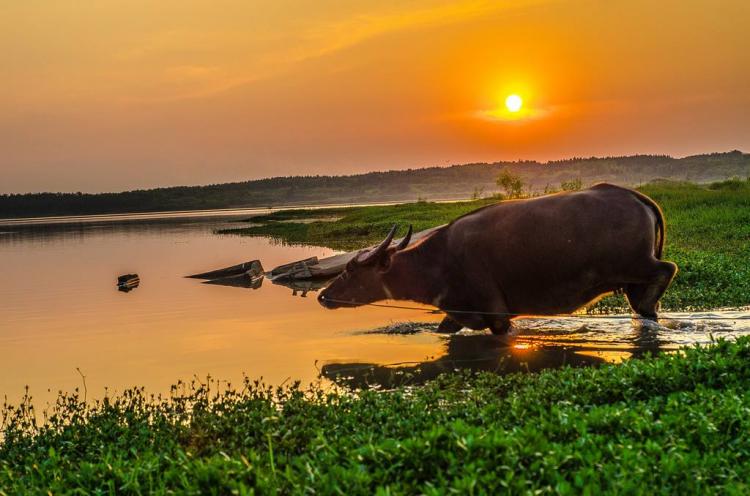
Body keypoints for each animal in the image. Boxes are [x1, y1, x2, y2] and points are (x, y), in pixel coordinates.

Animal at [318, 184, 680, 340]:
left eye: (350, 270)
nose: (323, 295)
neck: (438, 263)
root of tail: (636, 197)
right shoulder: (458, 314)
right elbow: (444, 329)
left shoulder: (497, 316)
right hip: (631, 277)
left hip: (634, 264)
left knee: (667, 270)